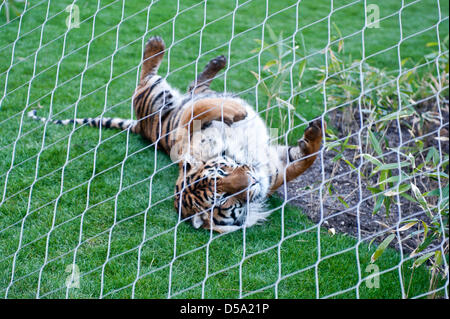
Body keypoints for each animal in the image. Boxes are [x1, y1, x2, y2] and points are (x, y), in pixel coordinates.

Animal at [27, 36, 324, 234]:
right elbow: (200, 109)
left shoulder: (271, 166)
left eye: (222, 173)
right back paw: (156, 47)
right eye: (222, 200)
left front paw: (314, 132)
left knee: (195, 88)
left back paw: (214, 63)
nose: (252, 181)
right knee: (144, 81)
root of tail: (139, 126)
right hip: (153, 98)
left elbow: (305, 159)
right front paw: (238, 111)